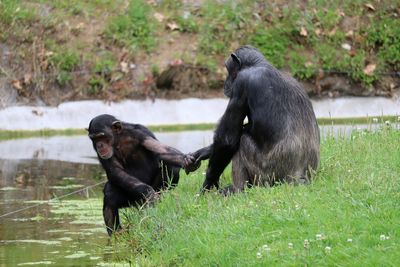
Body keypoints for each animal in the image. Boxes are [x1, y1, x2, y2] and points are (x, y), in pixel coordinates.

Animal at [192, 46, 320, 196]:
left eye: (228, 69)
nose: (226, 82)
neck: (259, 64)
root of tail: (298, 179)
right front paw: (205, 151)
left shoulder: (241, 84)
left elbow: (227, 139)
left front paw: (208, 184)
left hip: (267, 176)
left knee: (242, 139)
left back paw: (237, 189)